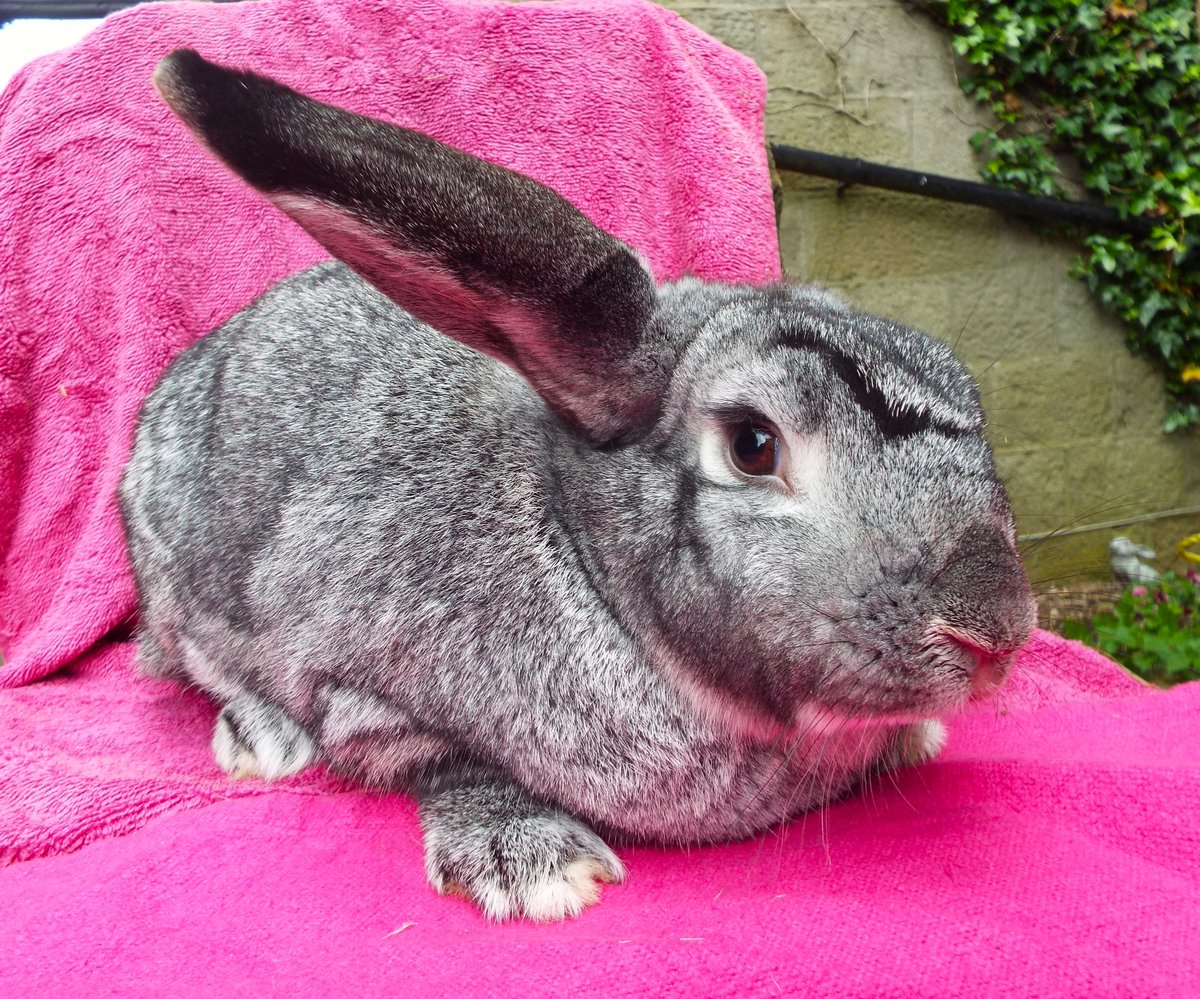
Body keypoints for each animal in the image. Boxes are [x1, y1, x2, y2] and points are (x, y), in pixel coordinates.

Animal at [120, 50, 1037, 923]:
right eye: (752, 444)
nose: (995, 631)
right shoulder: (358, 691)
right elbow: (448, 762)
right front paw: (538, 867)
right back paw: (261, 739)